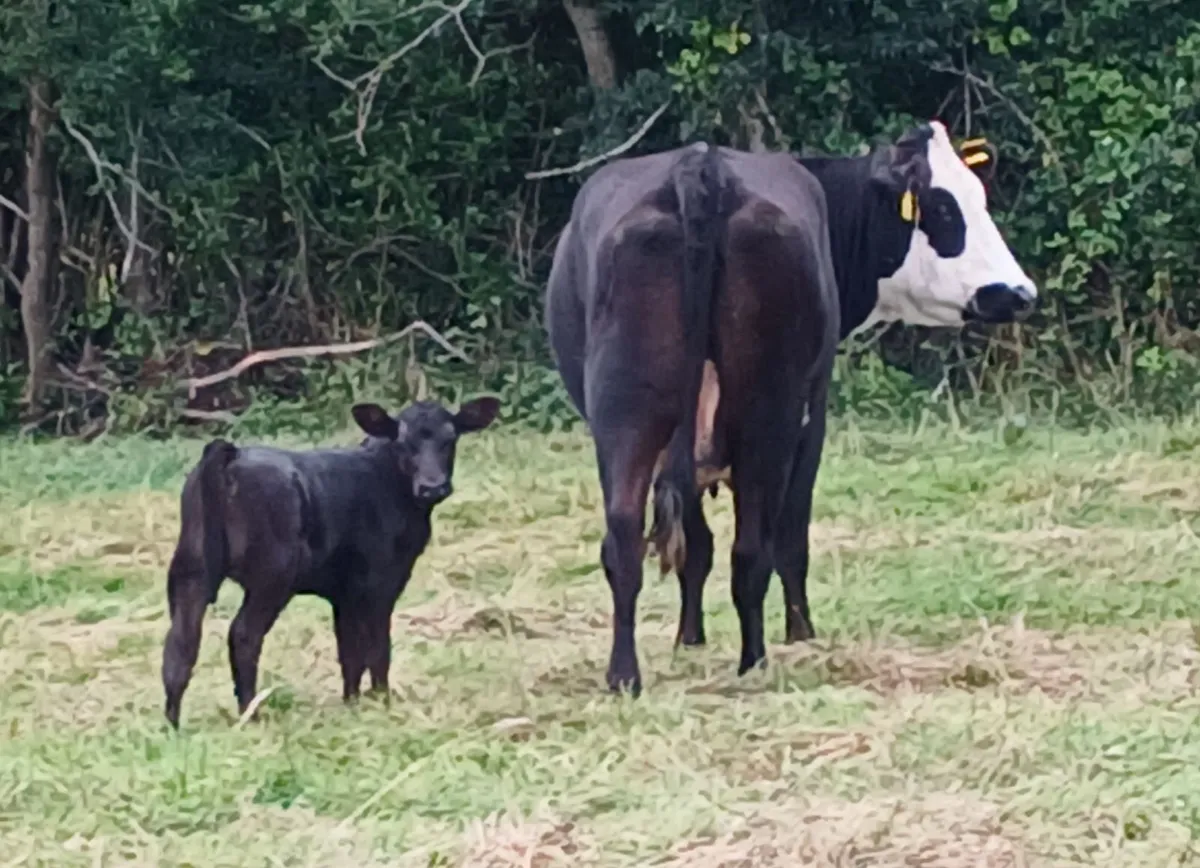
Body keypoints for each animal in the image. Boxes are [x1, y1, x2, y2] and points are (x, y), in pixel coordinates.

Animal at [160, 396, 501, 728]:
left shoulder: (344, 592)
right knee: (244, 636)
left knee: (181, 642)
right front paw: (382, 704)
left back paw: (173, 725)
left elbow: (349, 651)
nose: (433, 486)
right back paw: (251, 716)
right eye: (403, 443)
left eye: (450, 439)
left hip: (191, 571)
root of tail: (232, 453)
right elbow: (378, 648)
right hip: (272, 577)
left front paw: (352, 704)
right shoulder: (381, 582)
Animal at [545, 140, 841, 694]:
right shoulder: (812, 422)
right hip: (768, 411)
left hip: (626, 413)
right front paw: (799, 632)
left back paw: (625, 675)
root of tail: (702, 164)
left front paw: (690, 637)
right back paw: (753, 661)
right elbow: (788, 535)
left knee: (626, 537)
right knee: (752, 546)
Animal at [672, 121, 1037, 651]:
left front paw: (690, 640)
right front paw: (802, 636)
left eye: (979, 196)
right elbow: (789, 537)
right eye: (944, 208)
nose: (1020, 292)